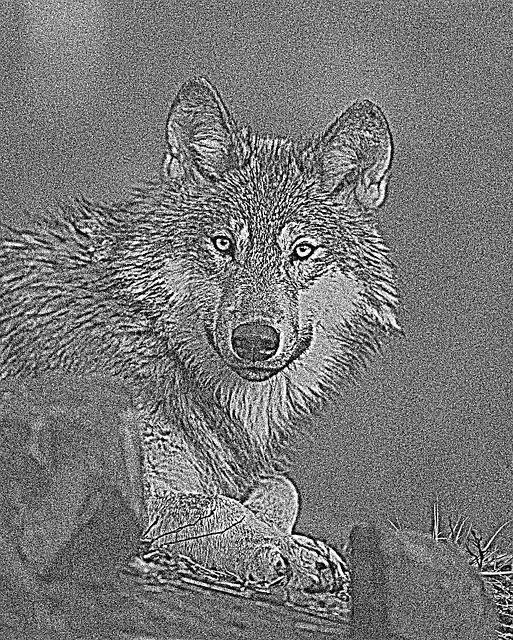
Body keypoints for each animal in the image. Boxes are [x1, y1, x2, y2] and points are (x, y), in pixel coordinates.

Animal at [0, 78, 398, 594]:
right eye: (223, 245)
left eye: (301, 251)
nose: (255, 339)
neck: (150, 335)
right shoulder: (116, 483)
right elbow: (214, 504)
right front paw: (278, 549)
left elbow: (281, 488)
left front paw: (296, 542)